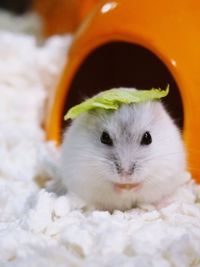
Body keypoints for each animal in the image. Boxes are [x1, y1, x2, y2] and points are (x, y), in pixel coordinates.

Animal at [60, 94, 188, 211]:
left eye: (148, 138)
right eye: (104, 137)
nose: (125, 176)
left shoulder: (164, 171)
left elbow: (144, 183)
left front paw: (131, 188)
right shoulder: (88, 176)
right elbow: (109, 184)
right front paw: (123, 188)